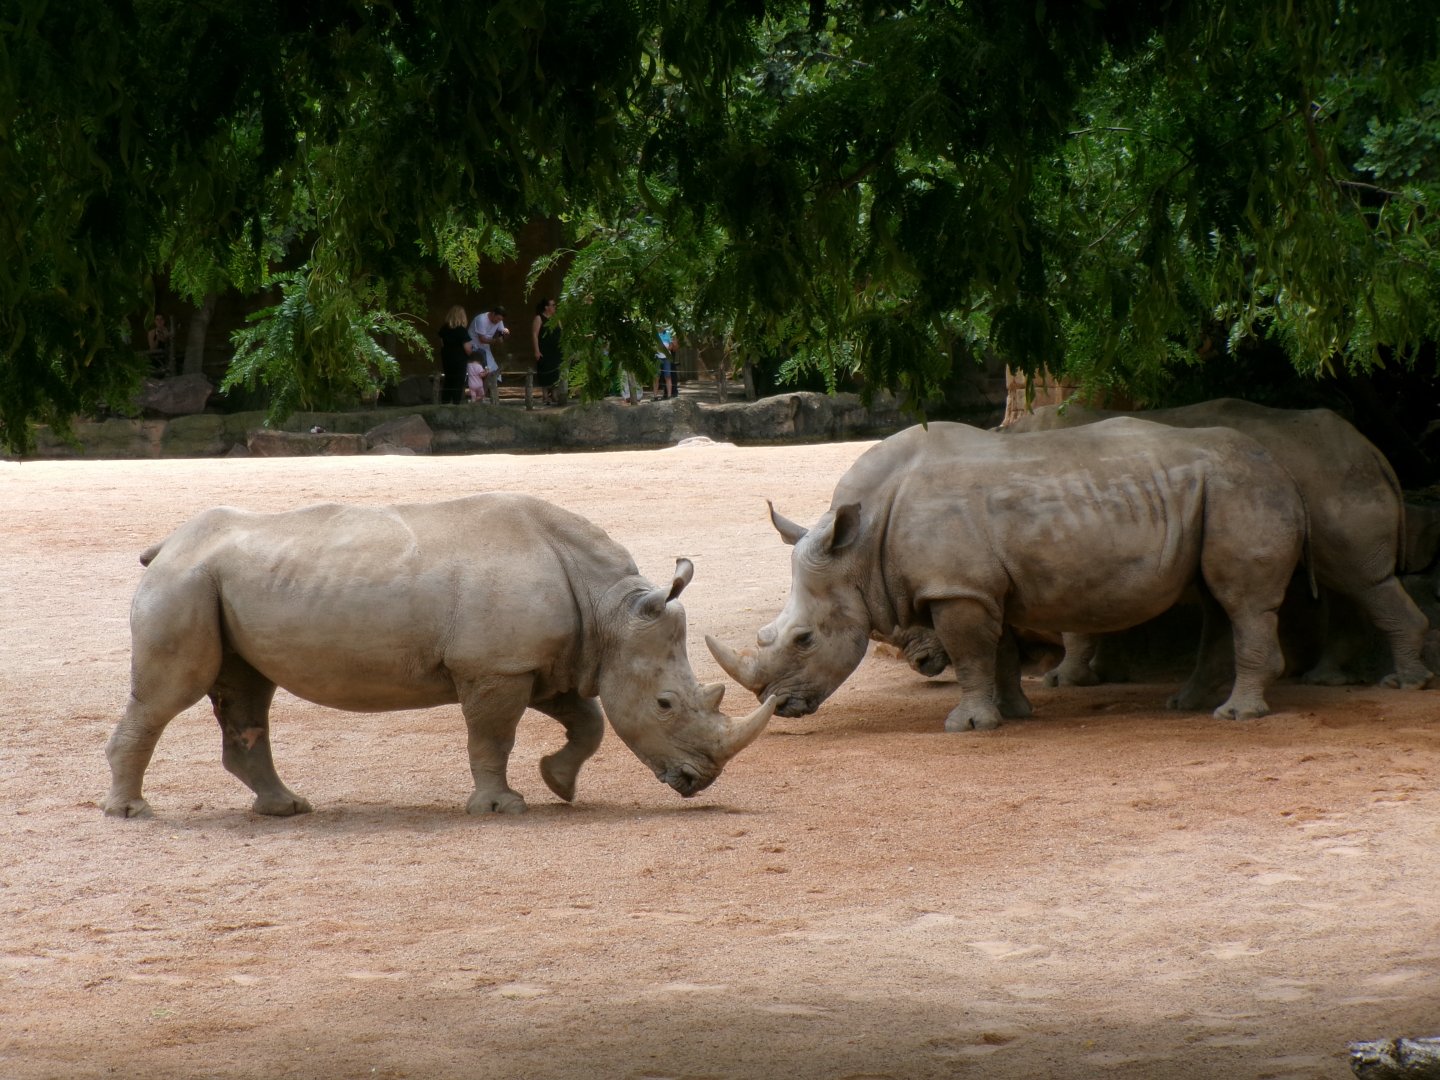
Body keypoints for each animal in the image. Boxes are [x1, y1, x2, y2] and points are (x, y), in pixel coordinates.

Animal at [103, 493, 776, 819]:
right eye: (665, 704)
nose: (700, 781)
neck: (609, 608)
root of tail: (167, 544)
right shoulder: (495, 667)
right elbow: (492, 738)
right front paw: (502, 808)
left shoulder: (547, 661)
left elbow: (587, 721)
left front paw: (558, 784)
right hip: (186, 581)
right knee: (172, 694)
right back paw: (133, 812)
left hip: (218, 581)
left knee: (247, 692)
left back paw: (286, 809)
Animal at [707, 418, 1309, 731]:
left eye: (804, 639)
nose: (778, 705)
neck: (857, 548)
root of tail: (1280, 464)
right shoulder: (977, 586)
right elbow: (995, 651)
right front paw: (1013, 714)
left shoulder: (958, 589)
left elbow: (970, 652)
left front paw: (967, 725)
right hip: (1217, 493)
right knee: (1215, 601)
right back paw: (1189, 705)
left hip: (1240, 488)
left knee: (1241, 602)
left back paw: (1235, 715)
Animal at [1003, 399, 1432, 693]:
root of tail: (1371, 449)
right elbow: (1106, 615)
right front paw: (1106, 675)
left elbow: (1077, 624)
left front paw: (1061, 681)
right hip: (1332, 482)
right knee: (1349, 582)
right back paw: (1327, 679)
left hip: (1332, 480)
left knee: (1362, 581)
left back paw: (1402, 684)